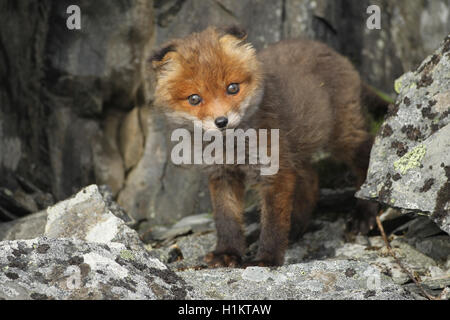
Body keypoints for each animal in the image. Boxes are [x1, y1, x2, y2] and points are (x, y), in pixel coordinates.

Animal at [149, 26, 382, 268]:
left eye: (232, 88)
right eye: (194, 99)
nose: (221, 121)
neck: (234, 148)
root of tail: (335, 54)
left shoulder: (275, 170)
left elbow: (273, 222)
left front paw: (267, 259)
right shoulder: (223, 174)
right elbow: (226, 218)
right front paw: (227, 252)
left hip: (343, 136)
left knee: (367, 157)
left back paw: (364, 213)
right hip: (298, 150)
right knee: (311, 180)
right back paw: (296, 228)